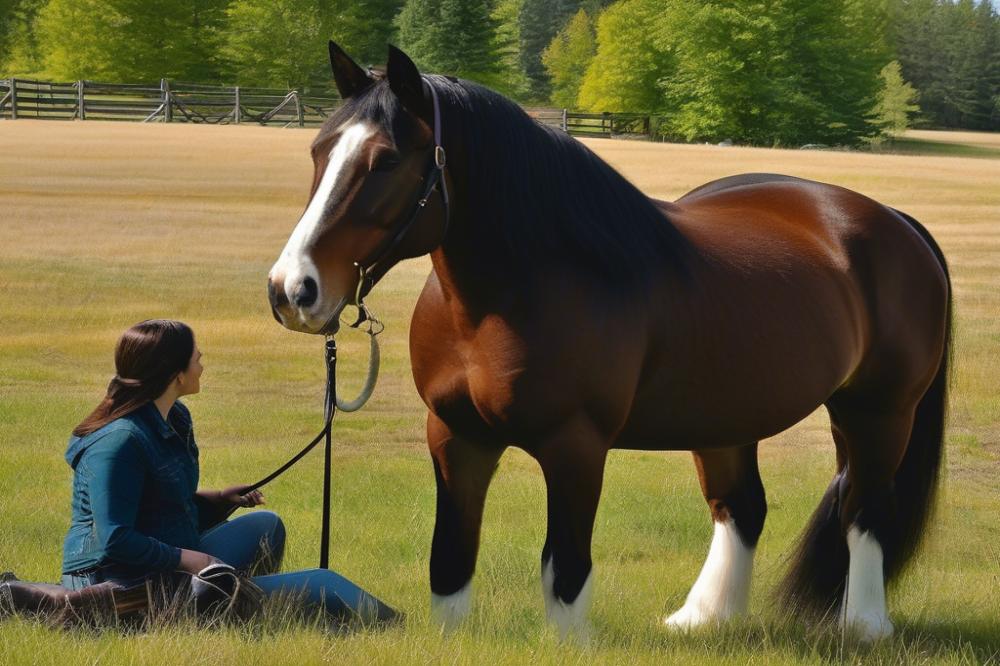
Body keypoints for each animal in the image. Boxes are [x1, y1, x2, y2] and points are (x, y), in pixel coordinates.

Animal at [266, 40, 952, 640]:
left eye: (385, 160)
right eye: (318, 150)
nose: (291, 289)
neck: (514, 293)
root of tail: (894, 222)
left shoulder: (575, 446)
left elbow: (565, 569)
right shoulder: (456, 436)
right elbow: (450, 560)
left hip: (876, 412)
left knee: (864, 511)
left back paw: (865, 628)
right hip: (727, 418)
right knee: (741, 506)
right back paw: (703, 619)